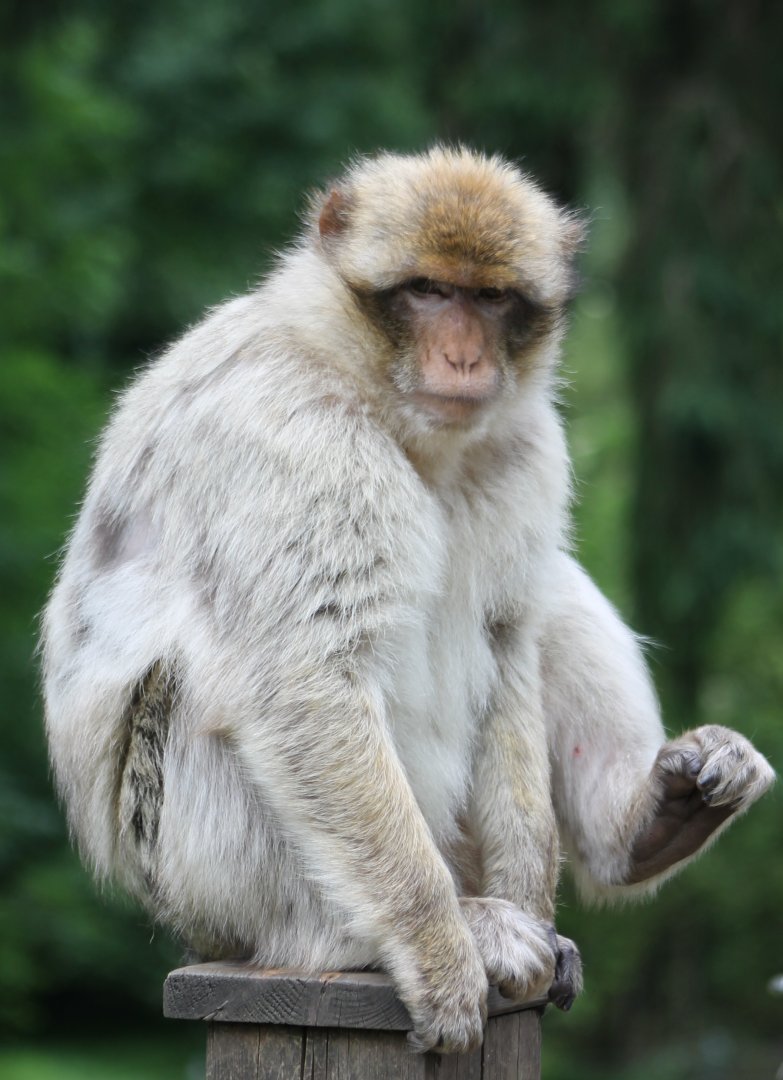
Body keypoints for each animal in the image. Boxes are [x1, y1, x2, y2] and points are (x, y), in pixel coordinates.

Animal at [41, 147, 774, 1055]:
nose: (461, 358)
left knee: (552, 590)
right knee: (207, 694)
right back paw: (378, 933)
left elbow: (507, 639)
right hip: (197, 882)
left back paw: (636, 828)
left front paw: (536, 906)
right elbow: (305, 677)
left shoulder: (527, 446)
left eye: (489, 299)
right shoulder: (293, 436)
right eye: (426, 291)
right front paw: (439, 949)